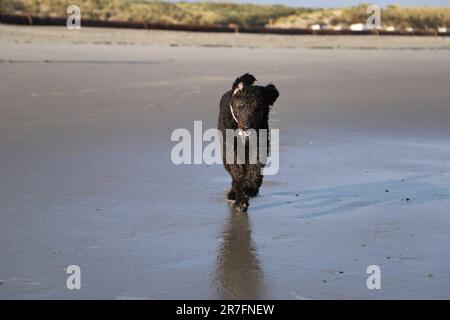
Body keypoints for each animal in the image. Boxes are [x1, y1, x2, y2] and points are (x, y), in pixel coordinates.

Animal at [218, 73, 278, 211]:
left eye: (257, 108)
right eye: (239, 107)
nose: (246, 127)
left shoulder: (259, 148)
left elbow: (254, 170)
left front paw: (251, 188)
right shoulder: (231, 150)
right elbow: (237, 173)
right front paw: (241, 199)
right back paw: (234, 194)